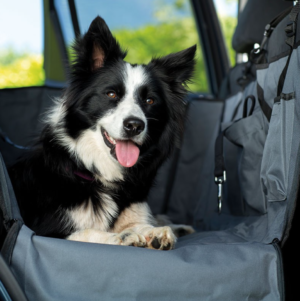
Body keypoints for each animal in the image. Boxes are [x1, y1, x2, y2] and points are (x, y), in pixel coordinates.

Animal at [9, 17, 196, 251]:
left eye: (149, 100)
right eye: (112, 94)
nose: (135, 125)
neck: (98, 173)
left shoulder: (134, 210)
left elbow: (141, 224)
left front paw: (155, 232)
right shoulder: (45, 230)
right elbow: (88, 232)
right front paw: (122, 237)